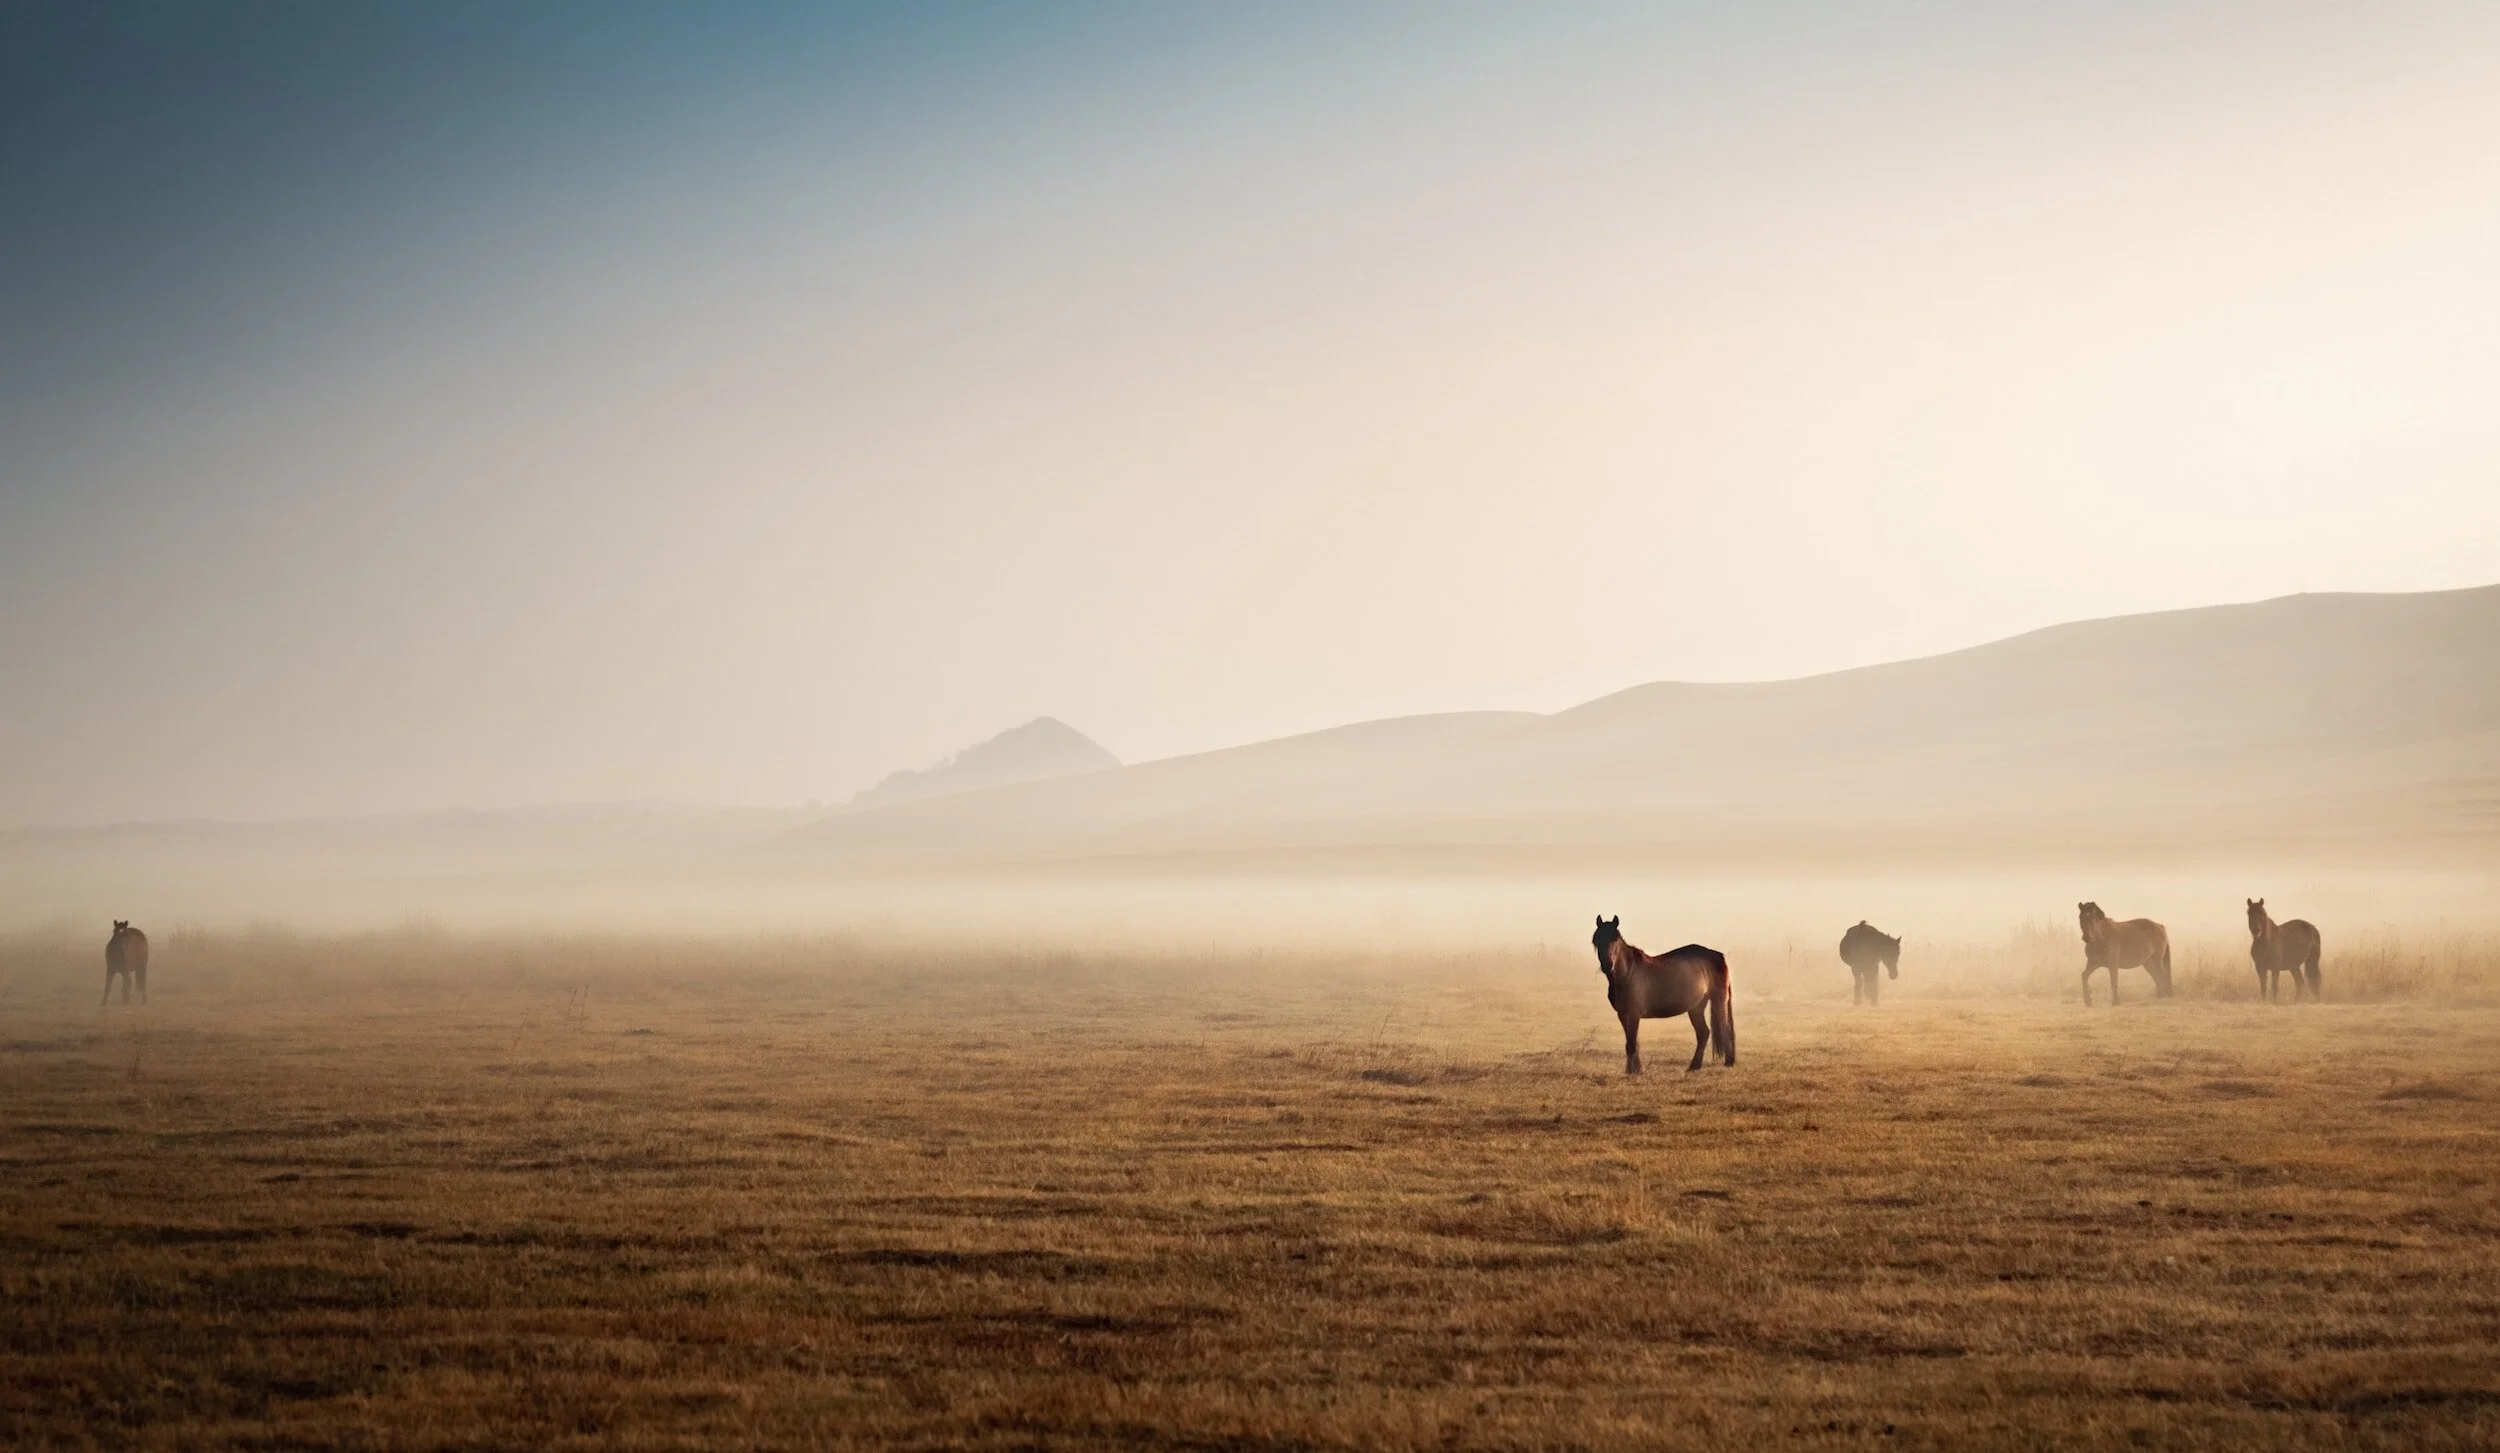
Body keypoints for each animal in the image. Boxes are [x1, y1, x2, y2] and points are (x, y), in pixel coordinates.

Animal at [1591, 916, 1735, 1074]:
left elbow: (1632, 1044)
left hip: (1719, 1000)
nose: (1607, 965)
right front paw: (1634, 1069)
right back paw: (1694, 1066)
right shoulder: (1623, 1015)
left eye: (1616, 940)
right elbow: (1631, 1042)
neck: (1628, 974)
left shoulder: (1634, 1014)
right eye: (1597, 940)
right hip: (1696, 1007)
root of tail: (1717, 956)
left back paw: (1728, 1062)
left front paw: (1634, 1071)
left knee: (1724, 1028)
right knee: (1703, 1033)